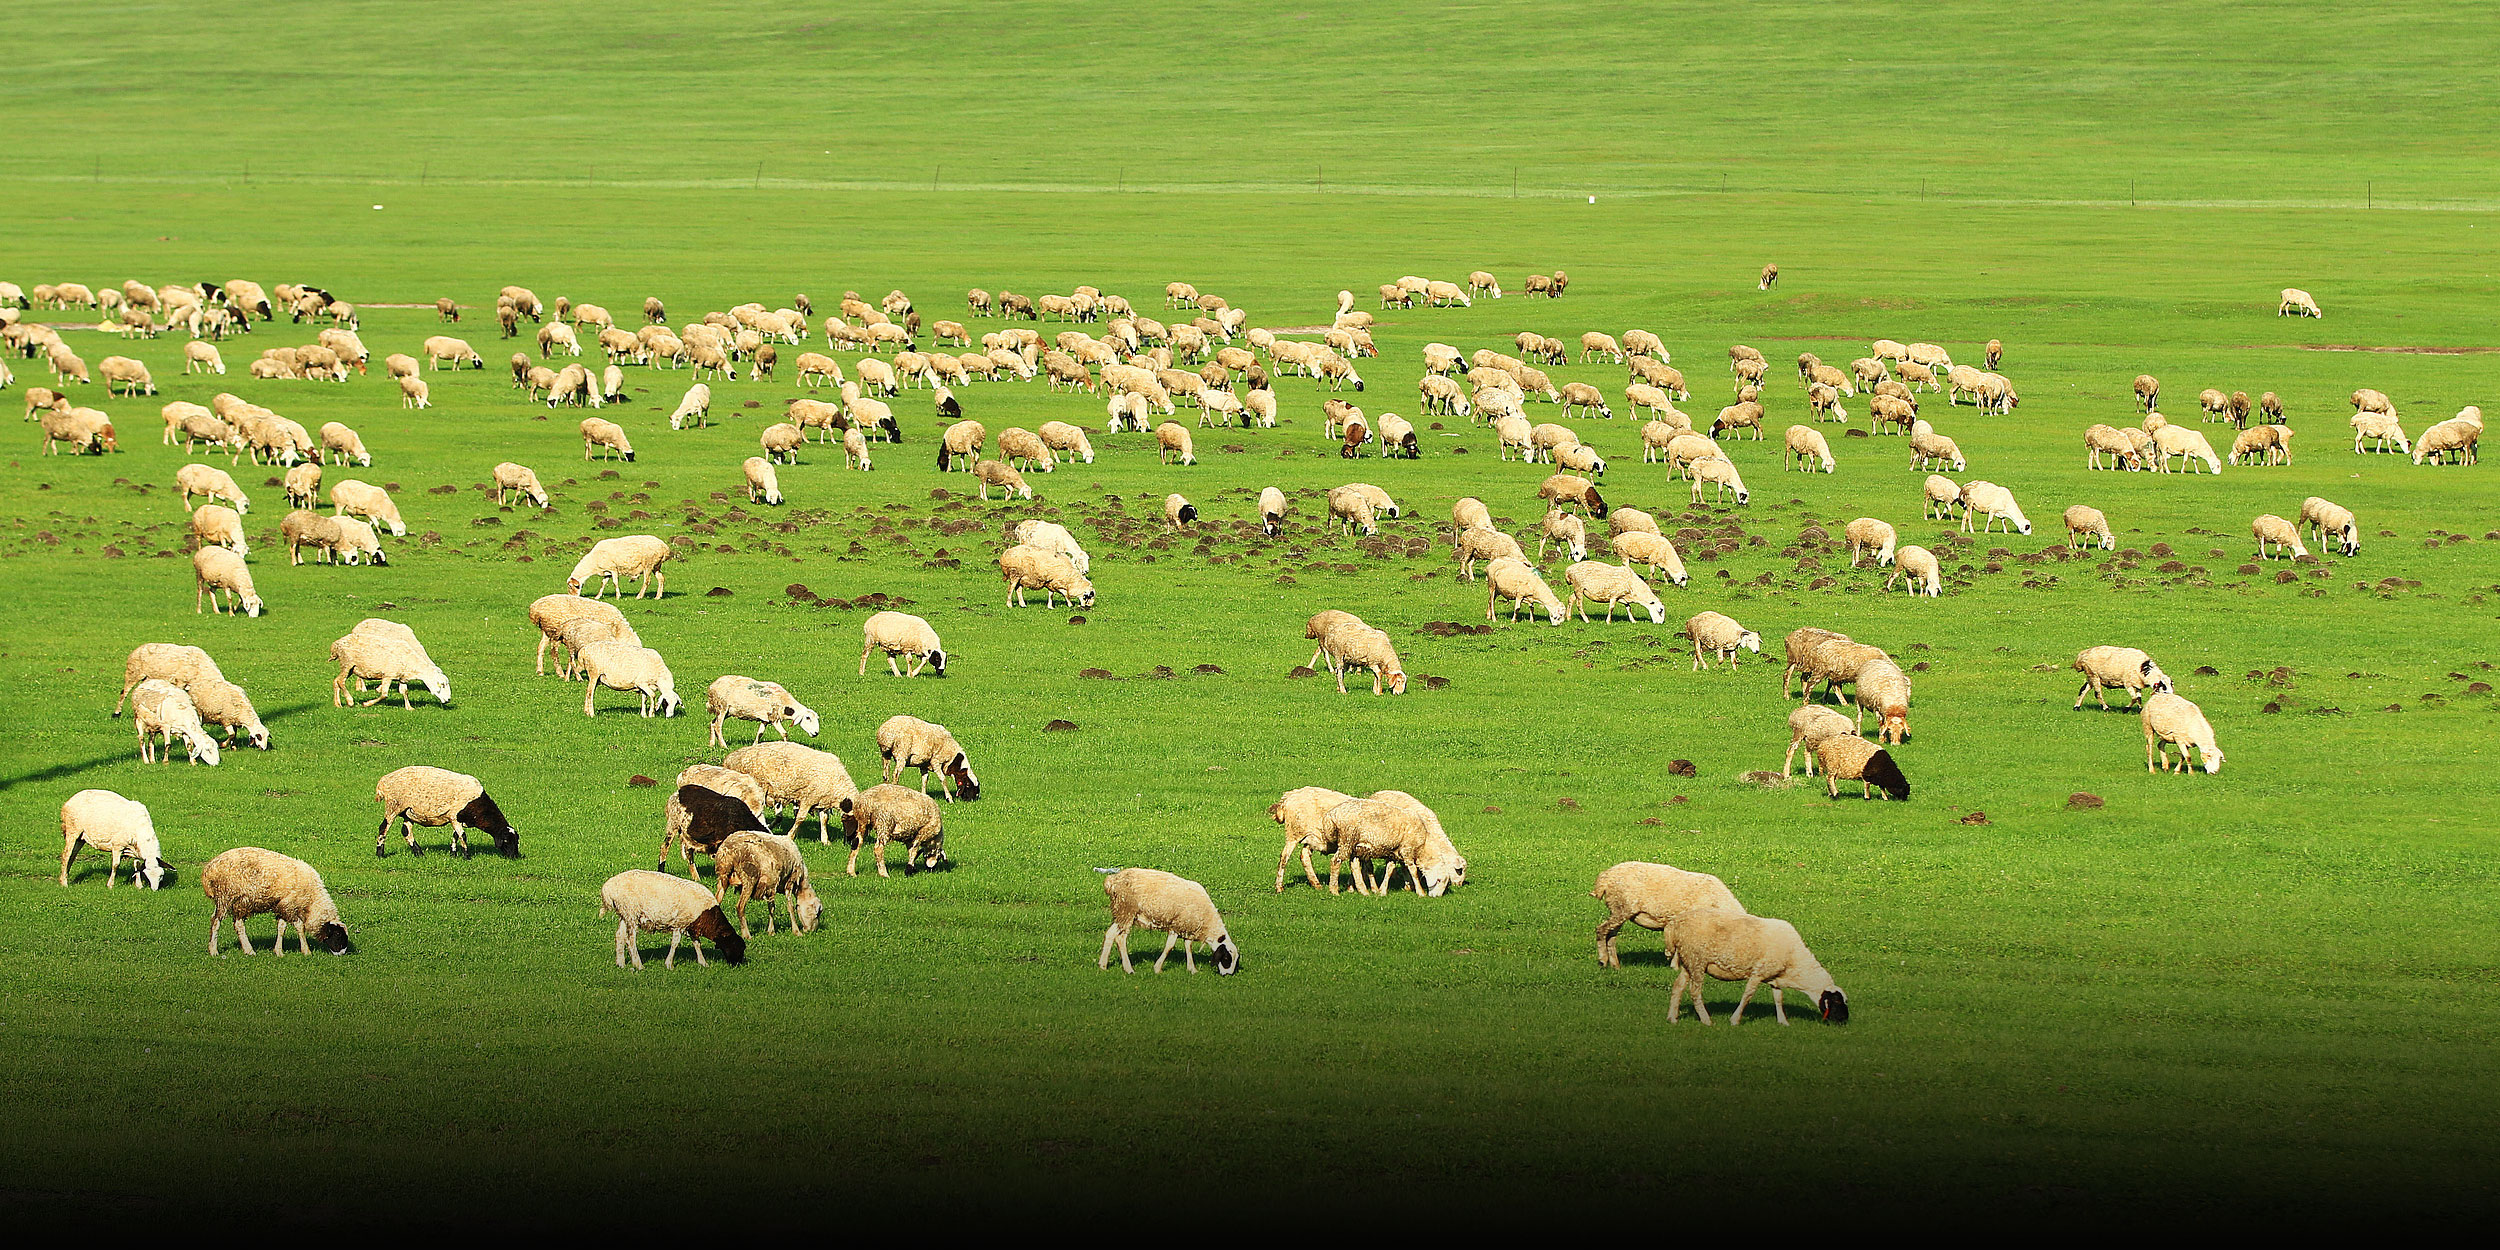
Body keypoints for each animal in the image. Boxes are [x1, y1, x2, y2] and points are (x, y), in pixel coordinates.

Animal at [202, 847, 352, 957]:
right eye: (338, 934)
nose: (342, 953)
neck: (312, 901)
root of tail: (208, 870)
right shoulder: (290, 906)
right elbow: (300, 926)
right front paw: (306, 951)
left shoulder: (283, 906)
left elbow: (281, 928)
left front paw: (279, 951)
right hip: (225, 896)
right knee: (216, 921)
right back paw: (214, 951)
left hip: (240, 902)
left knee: (238, 924)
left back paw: (249, 950)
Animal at [373, 766, 519, 859]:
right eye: (506, 840)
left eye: (517, 841)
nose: (515, 857)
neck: (478, 806)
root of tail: (383, 781)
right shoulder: (455, 816)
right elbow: (463, 836)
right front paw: (467, 856)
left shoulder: (456, 819)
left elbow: (456, 835)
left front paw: (453, 854)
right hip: (393, 805)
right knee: (383, 828)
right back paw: (380, 854)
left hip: (409, 812)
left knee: (406, 831)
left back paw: (419, 853)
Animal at [600, 869, 746, 969]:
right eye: (736, 946)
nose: (738, 965)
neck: (708, 915)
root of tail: (607, 889)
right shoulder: (680, 923)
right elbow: (675, 943)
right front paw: (669, 964)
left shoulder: (692, 925)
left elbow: (697, 943)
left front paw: (703, 962)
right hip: (631, 911)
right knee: (630, 940)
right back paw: (638, 965)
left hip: (624, 913)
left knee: (619, 936)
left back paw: (621, 963)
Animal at [1098, 868, 1237, 974]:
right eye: (1226, 958)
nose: (1228, 975)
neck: (1208, 922)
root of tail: (1112, 880)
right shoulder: (1176, 925)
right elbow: (1169, 946)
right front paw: (1157, 968)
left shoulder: (1187, 926)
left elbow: (1188, 946)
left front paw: (1192, 969)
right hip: (1126, 909)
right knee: (1119, 937)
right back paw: (1125, 968)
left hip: (1122, 912)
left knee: (1113, 935)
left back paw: (1106, 965)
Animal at [1591, 862, 1743, 968]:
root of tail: (1604, 878)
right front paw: (1676, 967)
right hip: (1622, 906)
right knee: (1601, 930)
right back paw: (1603, 961)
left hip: (1618, 909)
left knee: (1611, 935)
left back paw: (1615, 965)